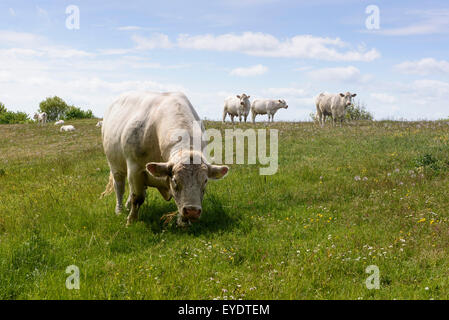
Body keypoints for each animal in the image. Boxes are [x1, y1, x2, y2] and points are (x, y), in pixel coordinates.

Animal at [100, 92, 229, 228]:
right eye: (175, 180)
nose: (192, 211)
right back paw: (119, 210)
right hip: (115, 165)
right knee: (120, 186)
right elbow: (138, 197)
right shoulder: (135, 168)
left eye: (205, 181)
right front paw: (131, 221)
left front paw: (183, 222)